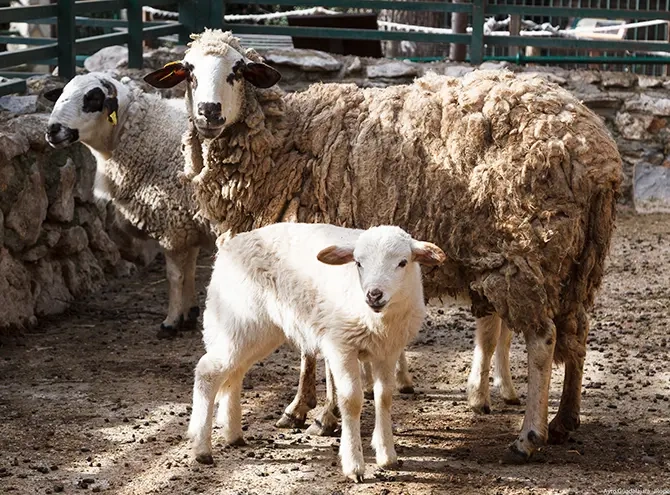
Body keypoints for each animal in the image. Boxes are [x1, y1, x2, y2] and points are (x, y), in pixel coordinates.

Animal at [44, 72, 213, 339]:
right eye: (61, 94)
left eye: (92, 98)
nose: (53, 130)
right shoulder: (188, 221)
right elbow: (190, 269)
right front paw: (190, 314)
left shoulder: (171, 223)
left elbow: (174, 275)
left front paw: (170, 322)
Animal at [188, 222, 446, 481]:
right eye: (358, 262)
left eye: (403, 262)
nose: (374, 294)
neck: (378, 320)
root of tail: (230, 243)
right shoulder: (341, 346)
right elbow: (351, 400)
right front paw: (354, 465)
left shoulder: (388, 351)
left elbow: (384, 397)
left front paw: (387, 455)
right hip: (239, 318)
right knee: (208, 371)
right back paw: (202, 448)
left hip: (258, 330)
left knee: (235, 372)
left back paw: (233, 435)